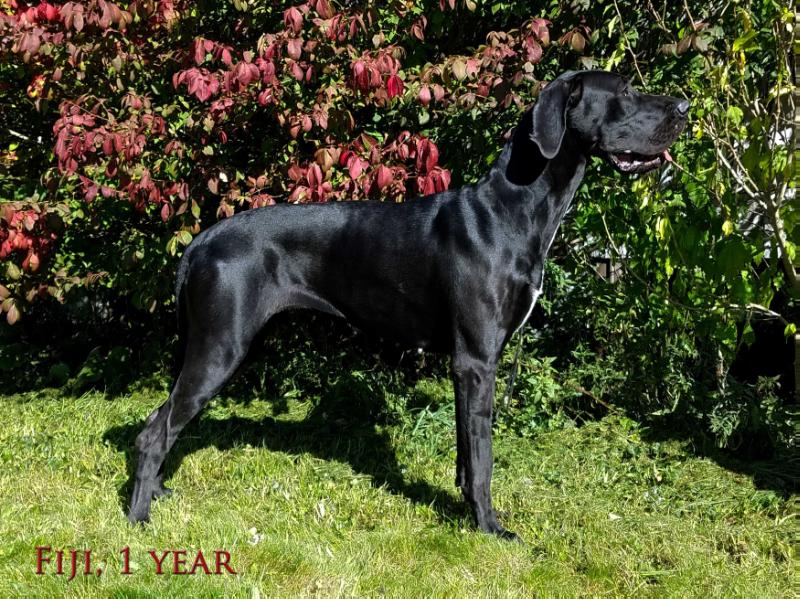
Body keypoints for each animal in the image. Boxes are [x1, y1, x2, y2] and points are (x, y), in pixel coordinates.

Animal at [130, 70, 688, 540]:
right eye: (625, 92)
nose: (684, 106)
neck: (515, 208)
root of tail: (198, 243)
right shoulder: (476, 360)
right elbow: (484, 457)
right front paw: (489, 527)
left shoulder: (468, 364)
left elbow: (467, 451)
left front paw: (466, 510)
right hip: (220, 346)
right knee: (154, 431)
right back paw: (138, 517)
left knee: (161, 420)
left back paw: (157, 492)